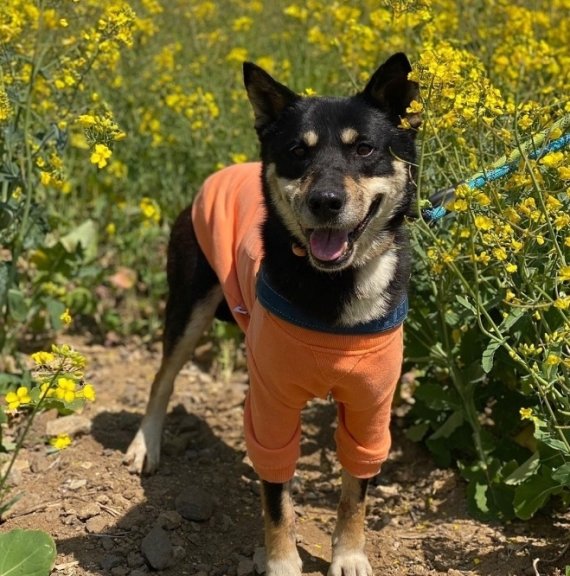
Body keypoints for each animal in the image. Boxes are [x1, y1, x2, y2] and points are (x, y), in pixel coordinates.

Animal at [124, 54, 418, 576]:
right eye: (298, 151)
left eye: (364, 148)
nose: (325, 202)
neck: (332, 287)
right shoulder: (274, 401)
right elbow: (276, 501)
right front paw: (282, 562)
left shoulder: (371, 405)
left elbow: (355, 490)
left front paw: (349, 554)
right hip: (189, 306)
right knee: (163, 377)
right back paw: (146, 444)